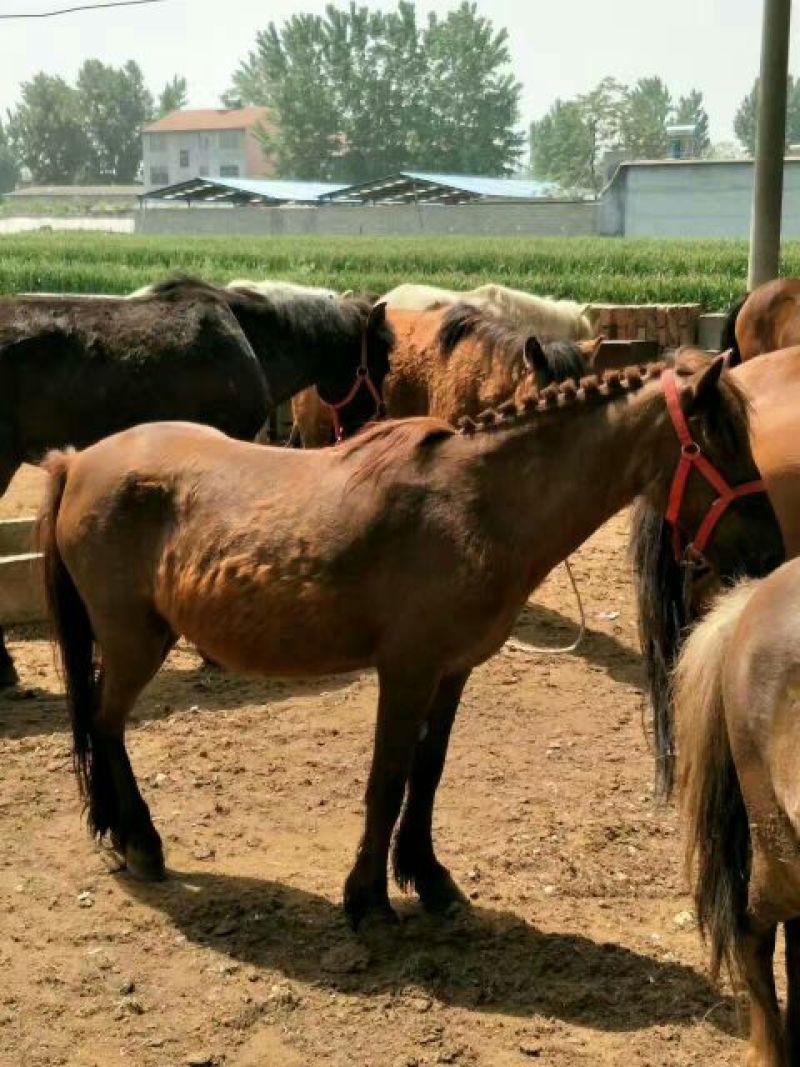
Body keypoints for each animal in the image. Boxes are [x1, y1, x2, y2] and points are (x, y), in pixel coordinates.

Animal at [36, 352, 781, 930]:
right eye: (717, 447)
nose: (773, 552)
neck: (475, 505)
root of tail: (78, 462)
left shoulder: (451, 672)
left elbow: (428, 772)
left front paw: (427, 876)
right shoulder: (406, 671)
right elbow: (388, 778)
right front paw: (367, 897)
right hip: (134, 641)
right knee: (106, 722)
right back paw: (141, 841)